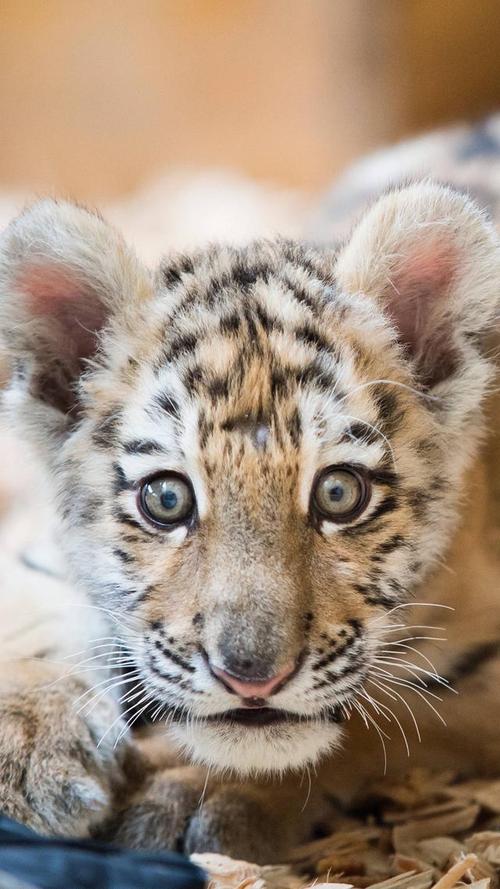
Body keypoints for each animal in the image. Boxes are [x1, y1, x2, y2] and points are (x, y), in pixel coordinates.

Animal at [2, 116, 500, 863]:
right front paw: (25, 746)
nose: (252, 676)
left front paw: (190, 793)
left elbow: (381, 715)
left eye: (339, 494)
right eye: (166, 500)